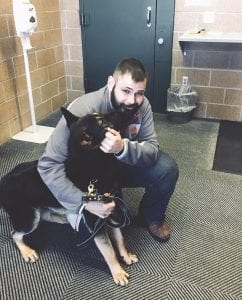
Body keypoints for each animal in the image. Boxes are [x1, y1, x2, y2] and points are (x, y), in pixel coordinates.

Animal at [0, 108, 138, 286]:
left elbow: (120, 239)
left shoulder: (114, 211)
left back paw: (62, 218)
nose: (125, 109)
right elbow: (108, 250)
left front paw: (125, 256)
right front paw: (118, 272)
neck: (92, 162)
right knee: (15, 234)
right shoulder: (96, 222)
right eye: (101, 122)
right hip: (29, 218)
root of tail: (3, 181)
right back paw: (26, 251)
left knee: (45, 215)